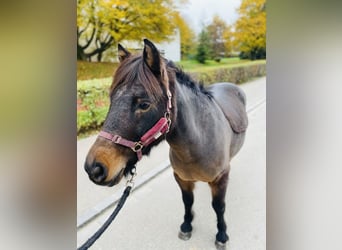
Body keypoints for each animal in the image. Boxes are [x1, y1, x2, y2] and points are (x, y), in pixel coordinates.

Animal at [84, 38, 247, 248]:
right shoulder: (182, 178)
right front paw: (186, 225)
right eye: (111, 98)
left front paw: (221, 235)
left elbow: (219, 207)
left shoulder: (220, 179)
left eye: (144, 104)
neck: (198, 143)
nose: (94, 167)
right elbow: (187, 201)